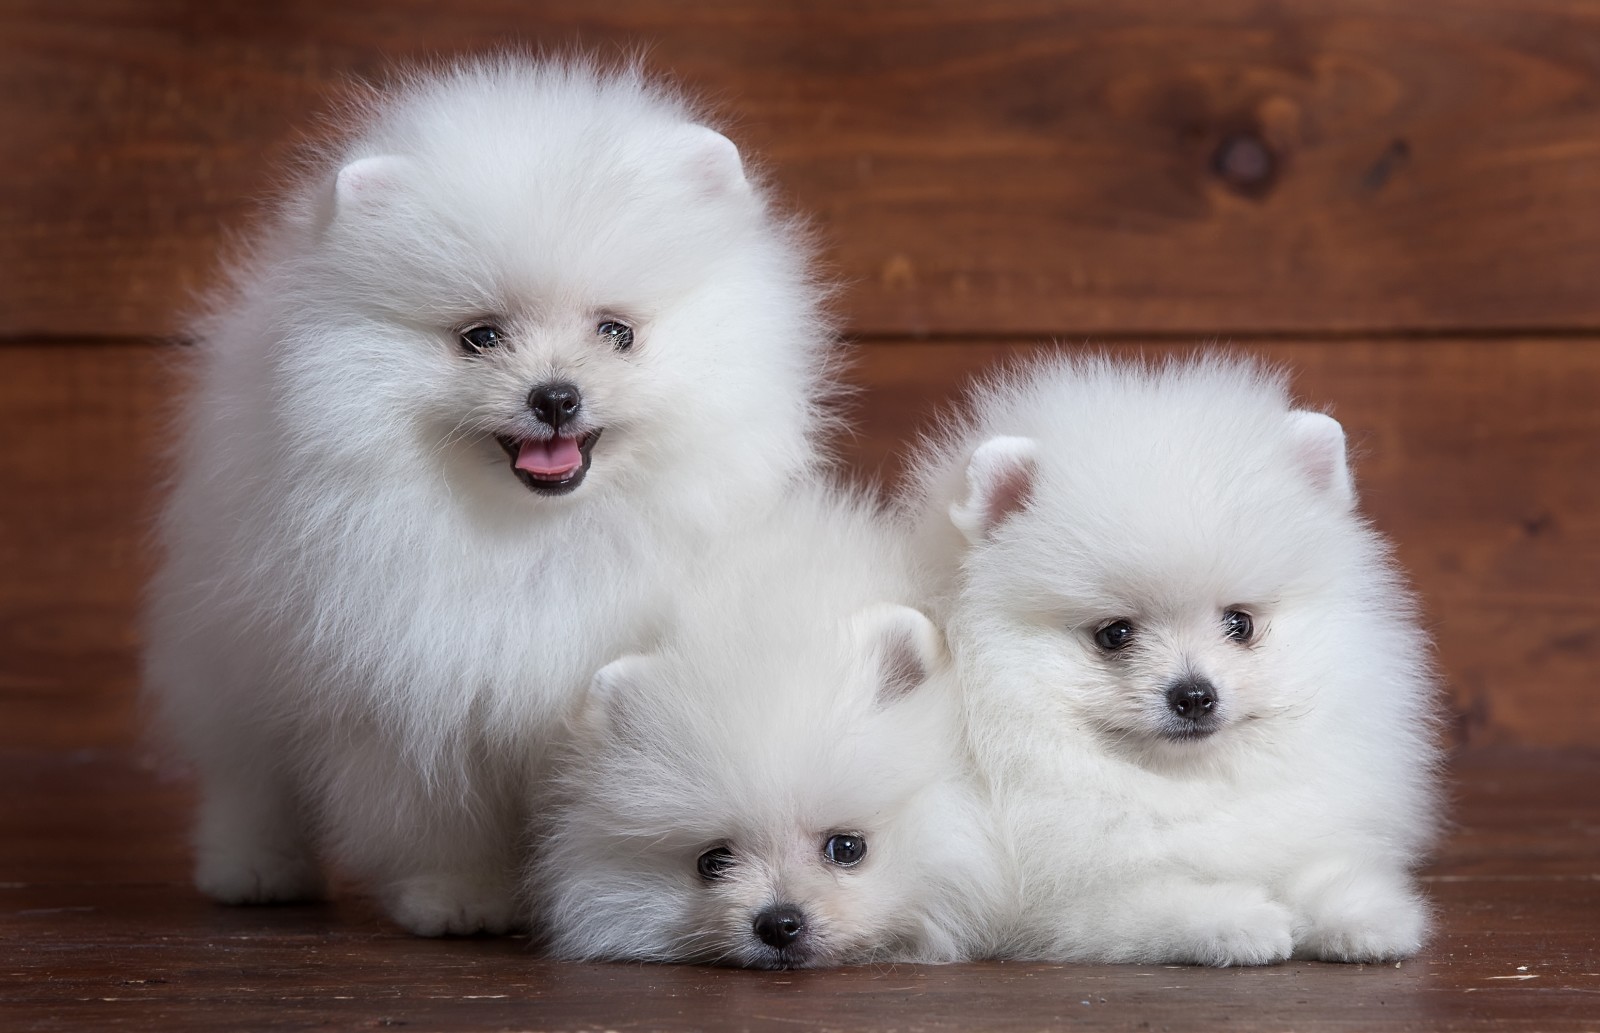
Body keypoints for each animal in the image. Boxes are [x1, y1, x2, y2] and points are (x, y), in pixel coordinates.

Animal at [145, 60, 838, 940]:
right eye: (480, 336)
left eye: (617, 331)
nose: (555, 395)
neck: (534, 535)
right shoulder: (410, 694)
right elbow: (437, 815)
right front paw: (461, 896)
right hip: (234, 653)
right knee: (249, 774)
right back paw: (254, 869)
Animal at [908, 358, 1446, 972]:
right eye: (1114, 634)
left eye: (1241, 623)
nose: (1193, 695)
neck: (1183, 783)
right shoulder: (1059, 904)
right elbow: (1157, 900)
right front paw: (1242, 921)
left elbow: (1318, 864)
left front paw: (1365, 916)